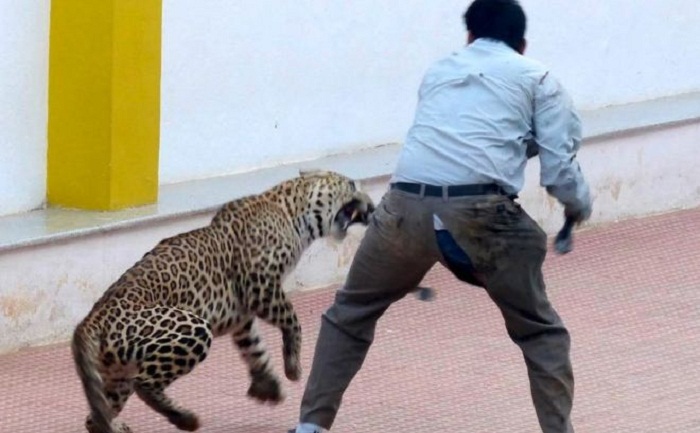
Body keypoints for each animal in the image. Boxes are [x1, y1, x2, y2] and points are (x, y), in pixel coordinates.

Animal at [71, 169, 376, 433]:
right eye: (351, 184)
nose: (372, 207)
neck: (292, 212)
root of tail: (90, 321)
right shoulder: (261, 285)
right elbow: (292, 319)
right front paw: (292, 366)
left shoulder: (242, 313)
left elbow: (254, 346)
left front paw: (268, 386)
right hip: (191, 330)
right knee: (144, 385)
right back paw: (186, 419)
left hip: (117, 373)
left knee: (96, 415)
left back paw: (115, 425)